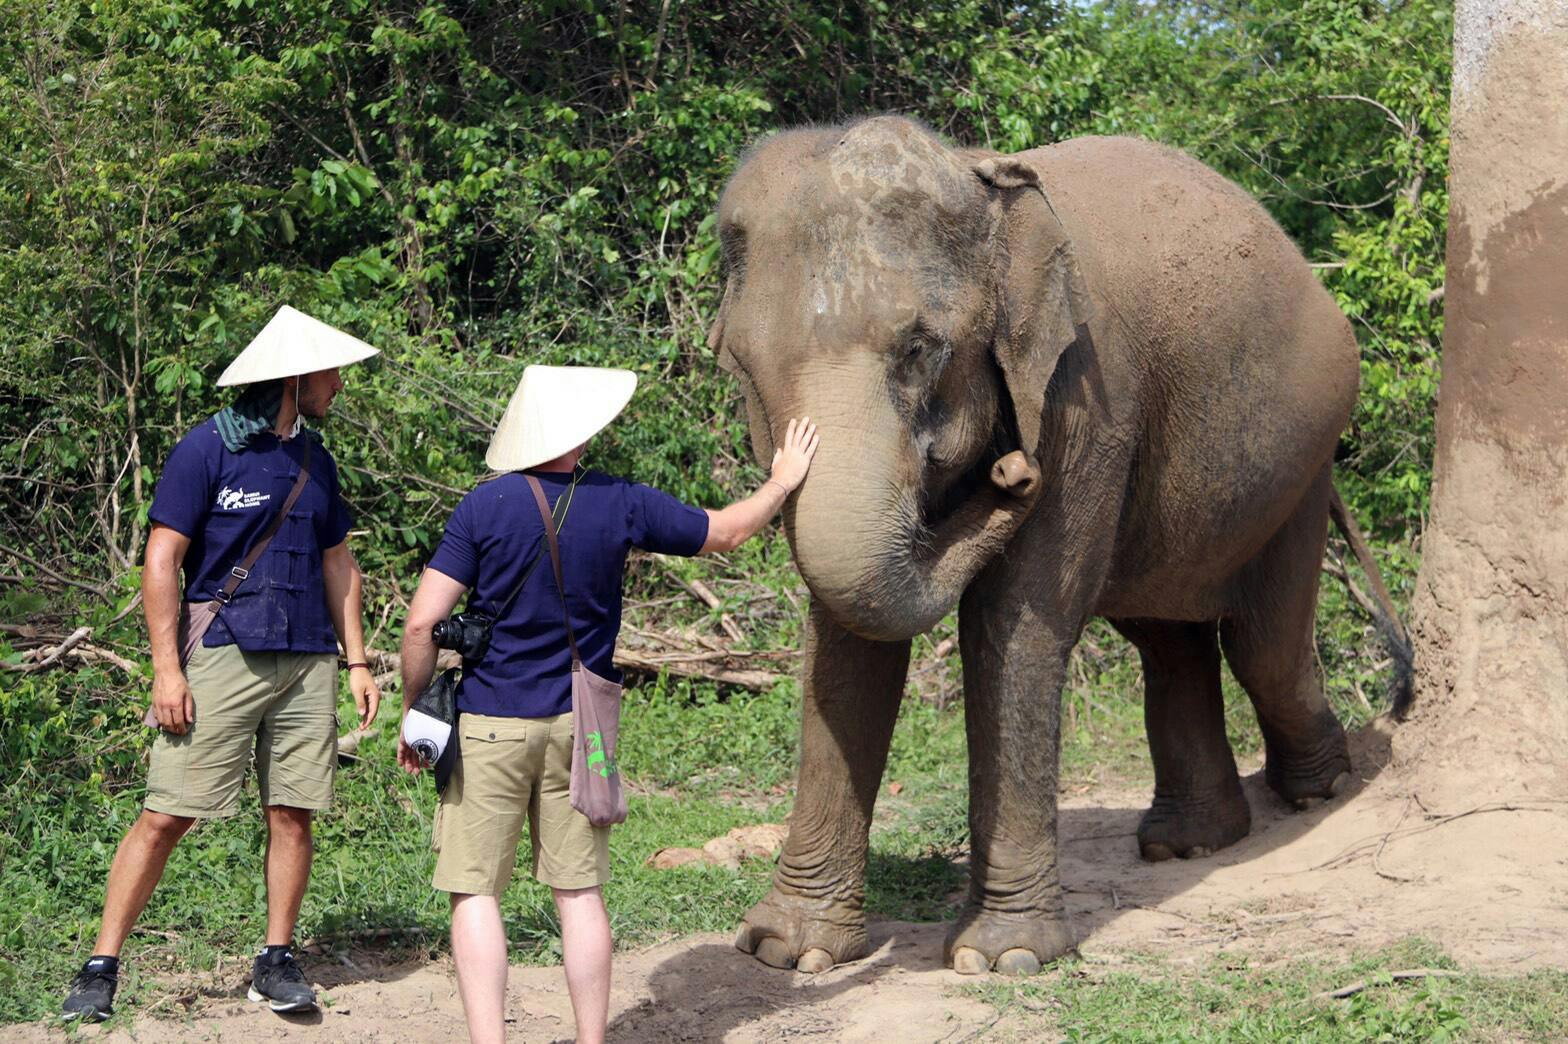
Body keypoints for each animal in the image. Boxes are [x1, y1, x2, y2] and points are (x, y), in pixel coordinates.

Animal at [711, 117, 1411, 971]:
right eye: (743, 364)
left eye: (919, 349)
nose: (1013, 470)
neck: (980, 180)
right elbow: (845, 646)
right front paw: (787, 951)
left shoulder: (1084, 396)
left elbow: (1012, 626)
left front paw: (999, 959)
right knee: (1168, 641)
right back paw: (1187, 844)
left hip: (1305, 456)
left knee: (1262, 646)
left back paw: (1322, 790)